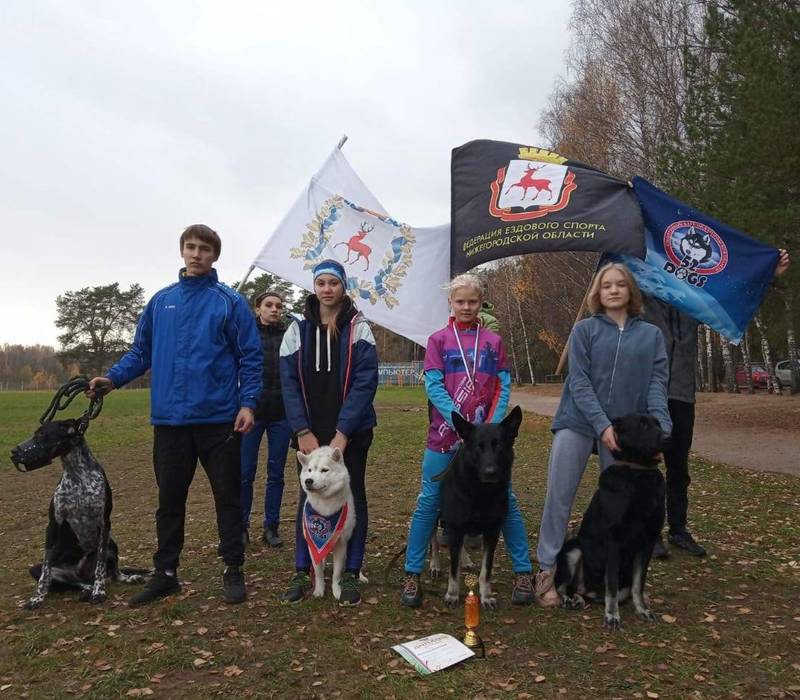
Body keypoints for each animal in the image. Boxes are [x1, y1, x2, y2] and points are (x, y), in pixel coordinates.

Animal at [298, 446, 354, 600]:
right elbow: (318, 573)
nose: (308, 481)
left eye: (324, 470)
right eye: (309, 470)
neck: (325, 506)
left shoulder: (341, 544)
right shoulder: (312, 544)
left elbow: (336, 574)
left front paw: (337, 591)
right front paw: (319, 590)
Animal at [552, 416, 672, 628]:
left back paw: (579, 599)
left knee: (592, 593)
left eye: (658, 423)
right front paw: (612, 616)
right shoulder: (614, 542)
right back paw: (568, 599)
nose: (669, 438)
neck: (639, 471)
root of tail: (589, 589)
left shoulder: (647, 544)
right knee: (563, 586)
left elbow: (637, 585)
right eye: (642, 425)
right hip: (574, 549)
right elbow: (612, 585)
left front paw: (642, 610)